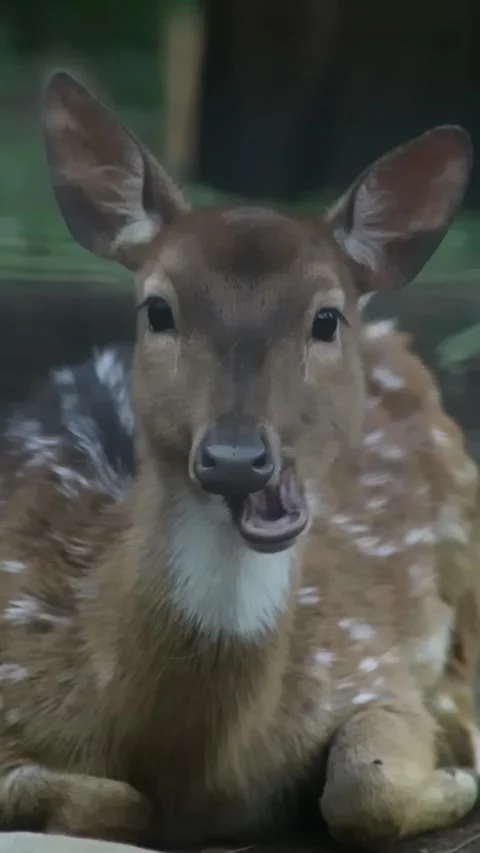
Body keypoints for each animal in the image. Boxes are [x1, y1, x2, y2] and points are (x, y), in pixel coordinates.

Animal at [0, 69, 478, 851]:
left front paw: (456, 776)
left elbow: (366, 784)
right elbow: (104, 801)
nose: (235, 457)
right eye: (158, 309)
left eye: (325, 317)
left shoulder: (367, 659)